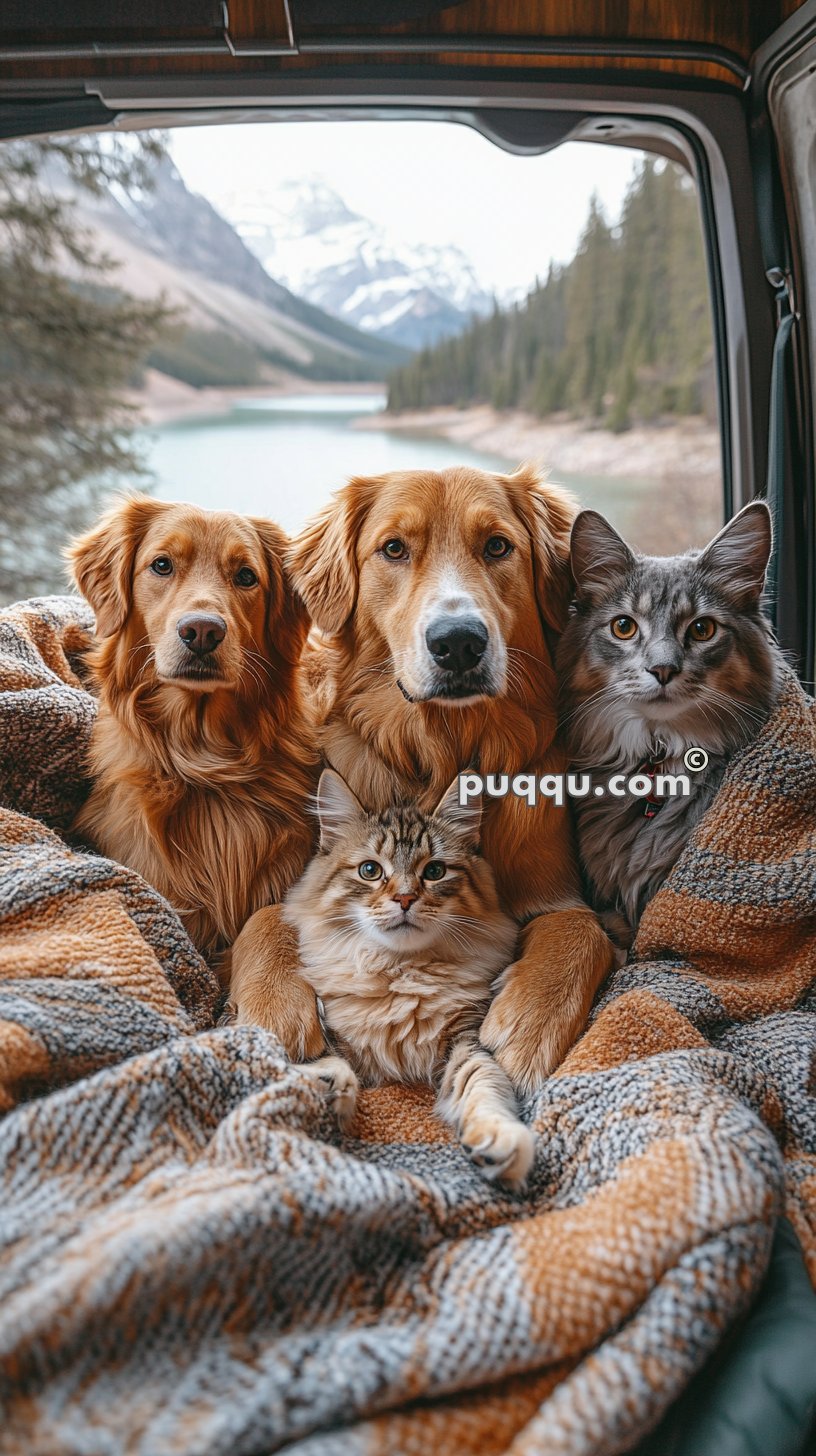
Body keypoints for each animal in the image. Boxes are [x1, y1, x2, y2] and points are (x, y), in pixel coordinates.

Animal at [227, 465, 612, 1094]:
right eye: (393, 549)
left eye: (497, 546)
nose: (458, 642)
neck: (440, 747)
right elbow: (265, 918)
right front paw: (274, 1014)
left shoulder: (561, 898)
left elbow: (582, 933)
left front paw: (525, 1027)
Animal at [282, 768, 536, 1188]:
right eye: (370, 871)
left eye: (434, 871)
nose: (404, 899)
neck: (399, 971)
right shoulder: (333, 1031)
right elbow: (325, 1059)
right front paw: (327, 1086)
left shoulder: (464, 1033)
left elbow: (482, 1080)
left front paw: (500, 1139)